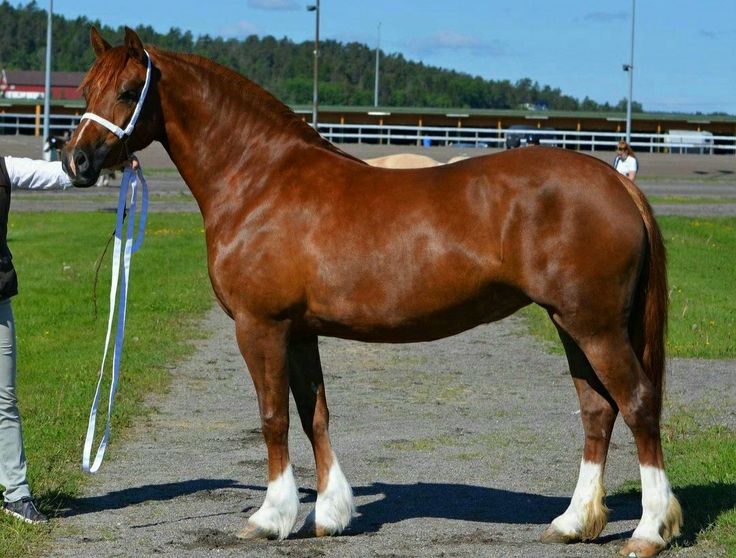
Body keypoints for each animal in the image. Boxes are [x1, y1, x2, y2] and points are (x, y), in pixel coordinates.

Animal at [64, 28, 684, 556]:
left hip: (594, 326)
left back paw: (649, 531)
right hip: (570, 323)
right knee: (597, 411)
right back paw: (573, 522)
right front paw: (330, 514)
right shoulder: (300, 332)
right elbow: (314, 414)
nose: (76, 159)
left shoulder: (260, 326)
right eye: (85, 90)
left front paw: (270, 518)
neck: (259, 180)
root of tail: (618, 183)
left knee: (637, 403)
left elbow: (273, 416)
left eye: (127, 91)